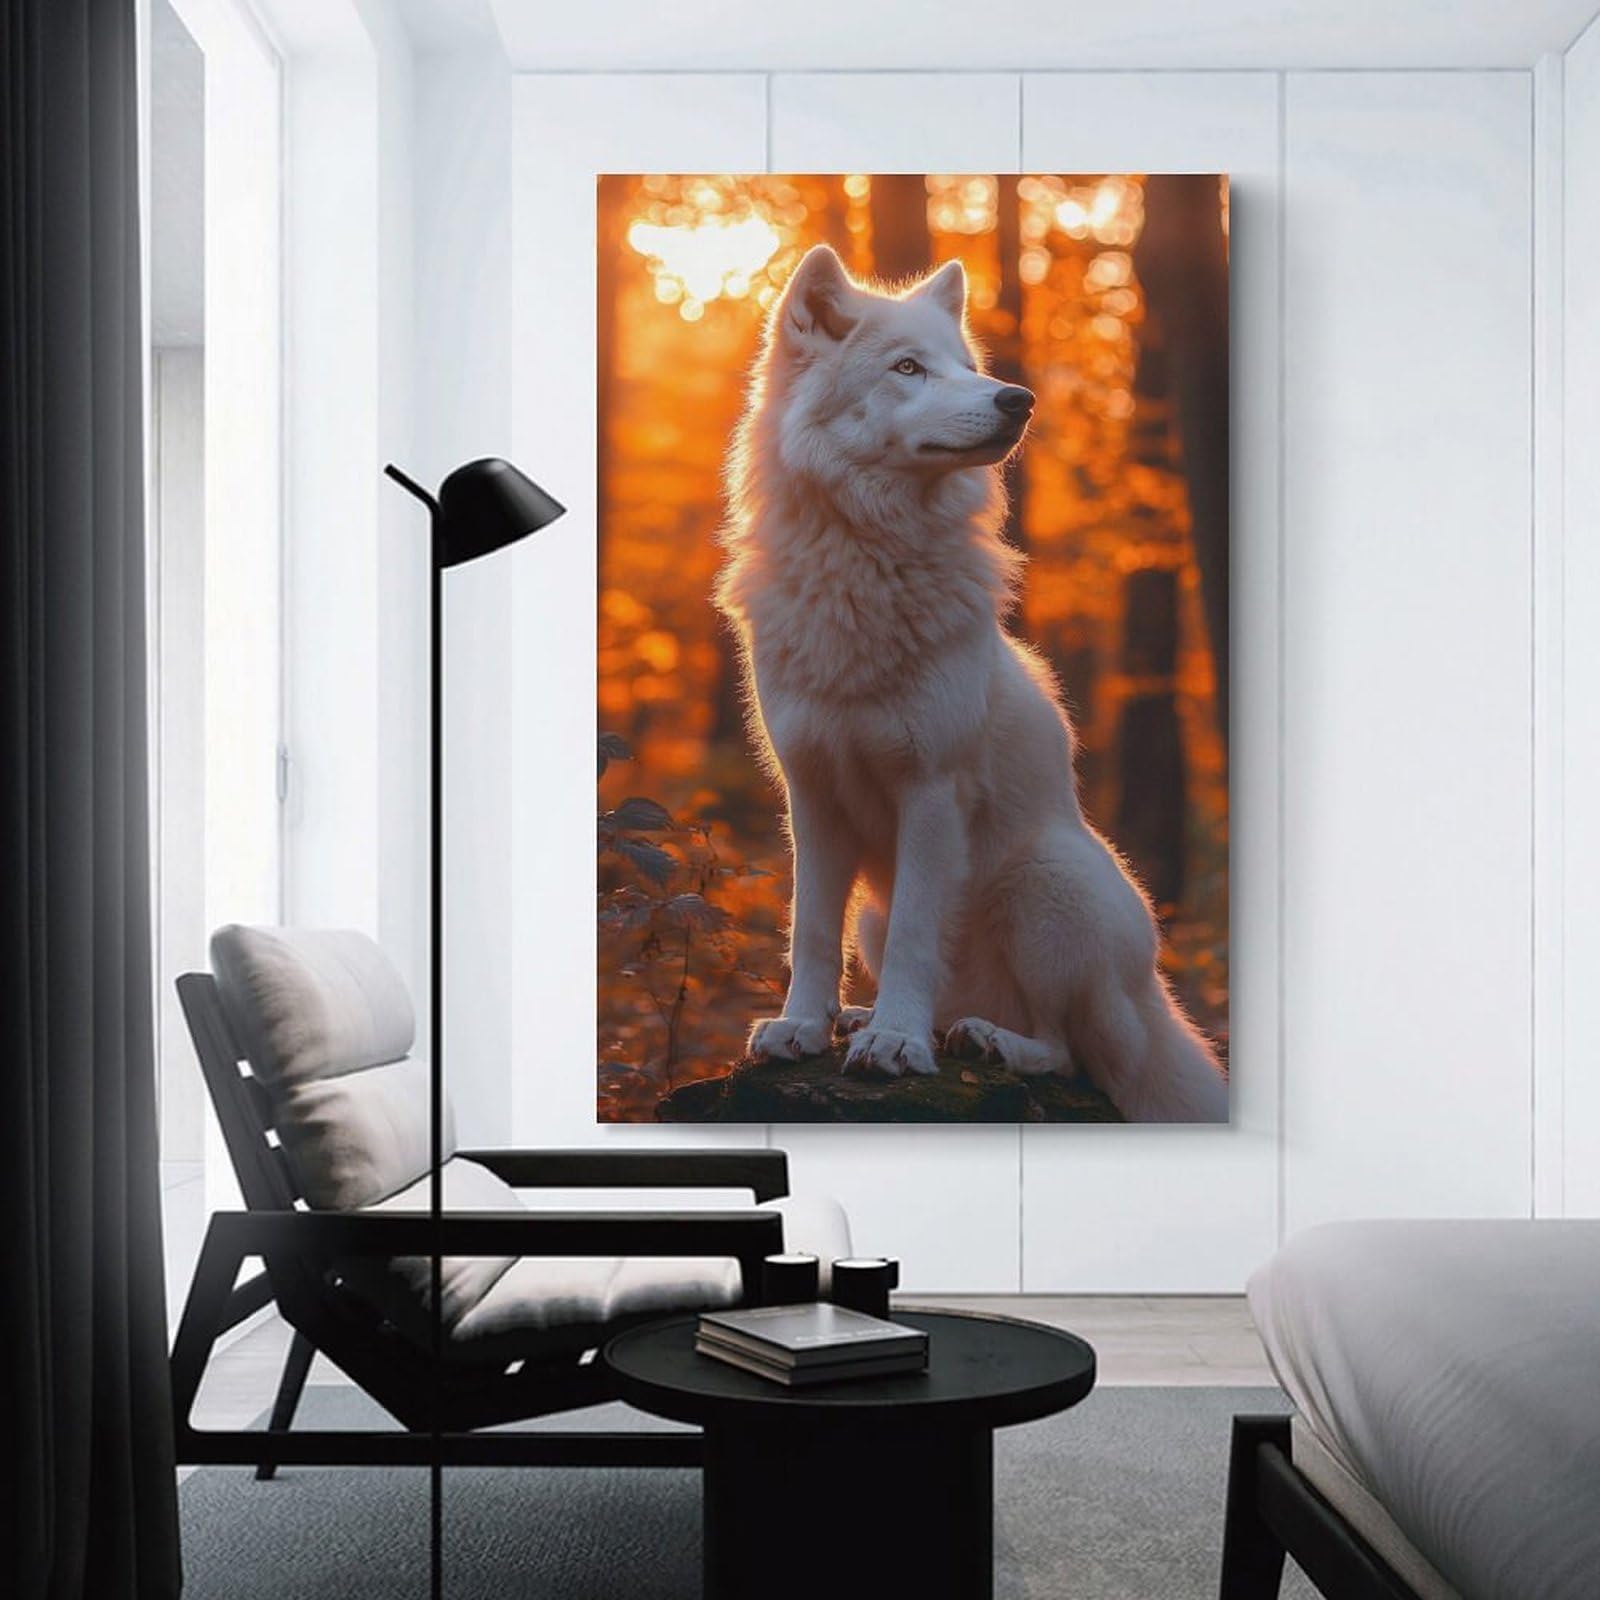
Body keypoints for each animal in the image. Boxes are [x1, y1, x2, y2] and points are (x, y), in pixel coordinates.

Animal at [714, 244, 1227, 1123]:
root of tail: (1153, 1004)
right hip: (874, 917)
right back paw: (867, 1018)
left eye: (966, 366)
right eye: (908, 367)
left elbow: (921, 934)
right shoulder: (809, 793)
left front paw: (896, 1044)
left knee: (1071, 1053)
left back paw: (981, 1039)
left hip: (1045, 884)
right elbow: (807, 929)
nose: (1017, 398)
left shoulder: (931, 790)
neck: (866, 561)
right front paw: (801, 1026)